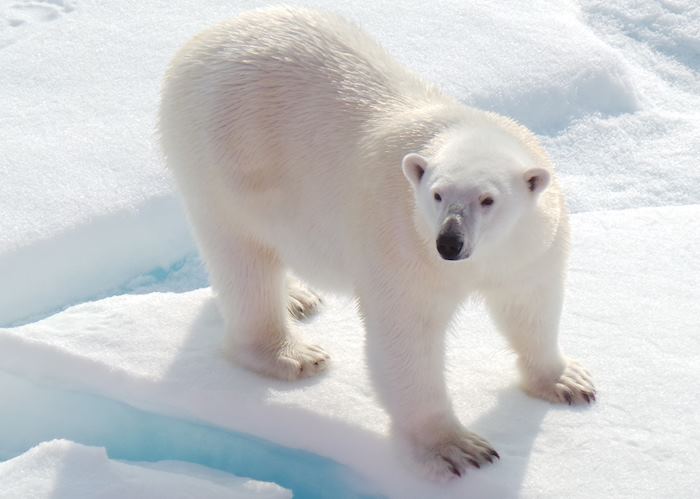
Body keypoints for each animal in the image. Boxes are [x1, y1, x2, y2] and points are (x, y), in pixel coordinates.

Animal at [159, 6, 596, 481]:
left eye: (487, 199)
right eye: (437, 194)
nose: (450, 243)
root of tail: (203, 41)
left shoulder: (531, 245)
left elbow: (530, 305)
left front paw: (566, 381)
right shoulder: (401, 243)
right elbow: (406, 337)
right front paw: (457, 448)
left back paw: (297, 296)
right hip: (223, 158)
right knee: (242, 259)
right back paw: (291, 353)